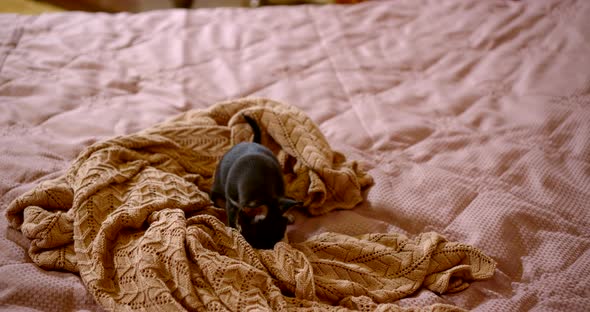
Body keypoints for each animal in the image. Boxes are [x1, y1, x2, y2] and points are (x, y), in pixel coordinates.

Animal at [210, 114, 300, 249]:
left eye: (280, 235)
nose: (272, 249)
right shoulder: (232, 203)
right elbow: (232, 220)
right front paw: (235, 230)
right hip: (217, 195)